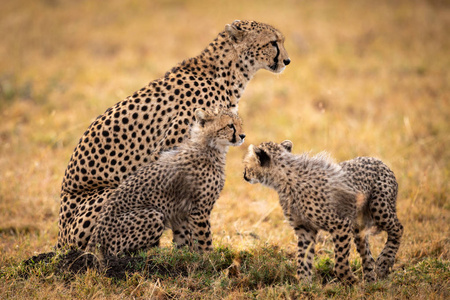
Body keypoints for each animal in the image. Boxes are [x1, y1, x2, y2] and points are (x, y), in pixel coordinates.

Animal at [86, 108, 244, 262]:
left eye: (240, 123)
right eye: (230, 125)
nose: (243, 135)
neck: (209, 147)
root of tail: (93, 241)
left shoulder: (181, 212)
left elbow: (183, 238)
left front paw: (185, 255)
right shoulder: (199, 209)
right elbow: (204, 238)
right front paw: (210, 258)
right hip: (153, 215)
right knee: (114, 253)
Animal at [243, 141, 404, 284]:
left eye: (246, 165)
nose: (244, 175)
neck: (283, 180)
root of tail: (378, 160)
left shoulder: (340, 225)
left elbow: (340, 263)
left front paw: (350, 280)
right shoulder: (305, 229)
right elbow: (303, 260)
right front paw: (305, 287)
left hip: (379, 207)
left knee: (398, 229)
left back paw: (383, 263)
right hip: (359, 226)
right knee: (368, 257)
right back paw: (371, 283)